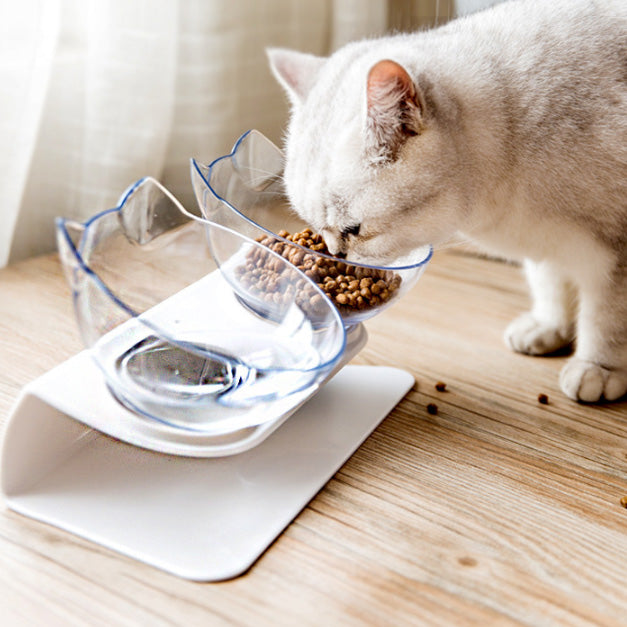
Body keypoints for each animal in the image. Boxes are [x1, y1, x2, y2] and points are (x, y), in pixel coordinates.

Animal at [266, 0, 627, 402]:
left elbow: (605, 318)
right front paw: (549, 328)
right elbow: (551, 283)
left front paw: (598, 367)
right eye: (316, 229)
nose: (334, 257)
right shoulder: (547, 245)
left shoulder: (614, 253)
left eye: (354, 229)